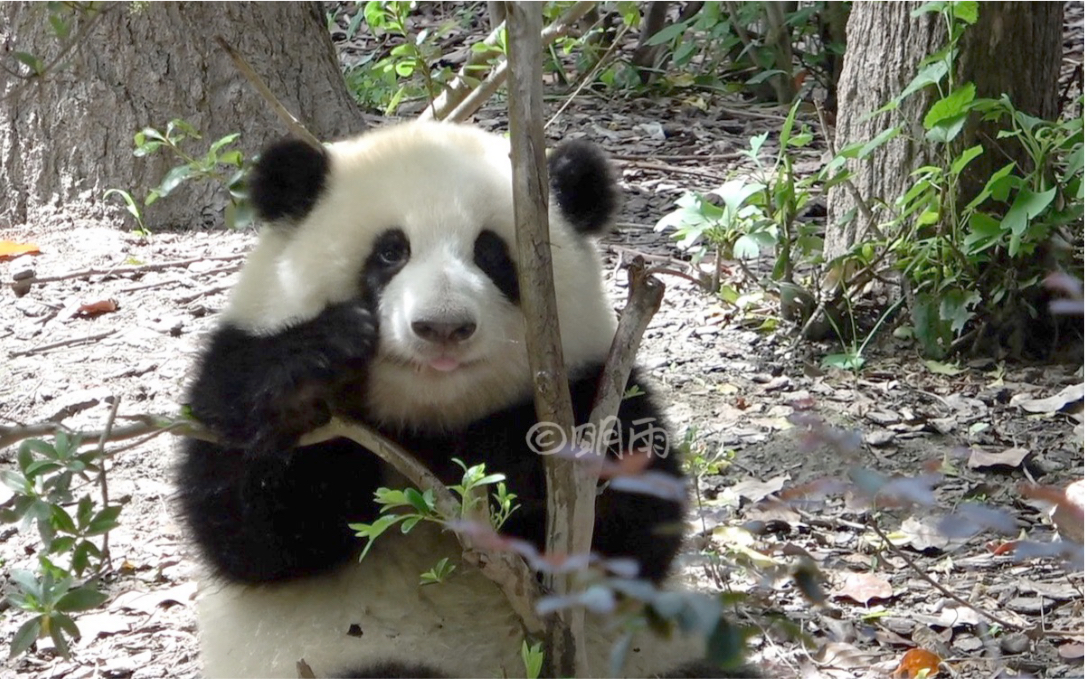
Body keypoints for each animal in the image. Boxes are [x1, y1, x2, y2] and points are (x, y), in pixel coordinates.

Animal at [173, 121, 743, 677]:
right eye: (391, 251)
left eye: (490, 253)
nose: (442, 327)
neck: (433, 417)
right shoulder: (237, 362)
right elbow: (251, 530)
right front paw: (313, 374)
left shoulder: (600, 386)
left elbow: (633, 530)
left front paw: (506, 461)